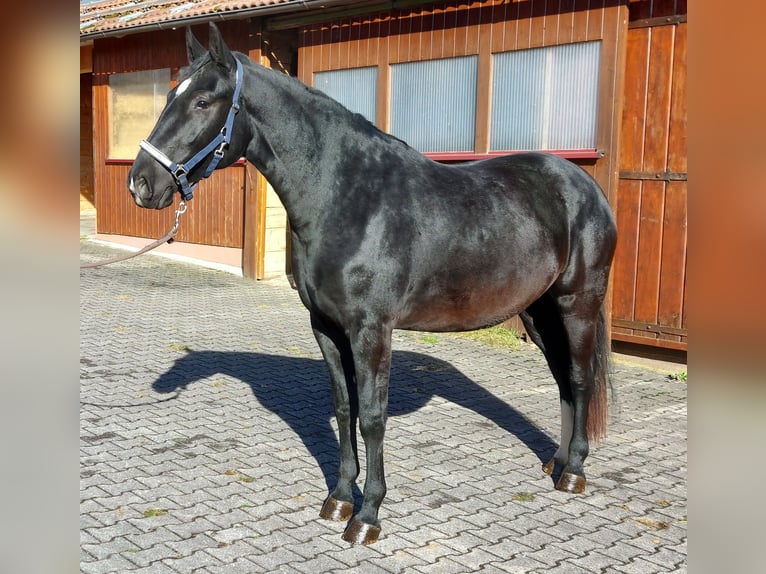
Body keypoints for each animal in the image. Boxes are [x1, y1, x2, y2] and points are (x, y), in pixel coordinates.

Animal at [128, 23, 617, 545]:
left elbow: (373, 418)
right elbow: (345, 409)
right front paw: (340, 498)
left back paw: (574, 472)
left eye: (202, 101)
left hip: (577, 304)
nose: (141, 184)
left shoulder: (371, 330)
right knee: (562, 378)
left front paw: (368, 516)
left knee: (580, 378)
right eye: (169, 96)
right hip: (538, 311)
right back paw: (557, 462)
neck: (349, 197)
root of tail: (583, 185)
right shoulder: (325, 327)